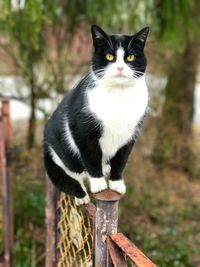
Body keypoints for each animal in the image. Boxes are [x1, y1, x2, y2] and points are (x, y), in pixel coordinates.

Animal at [44, 24, 150, 205]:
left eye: (130, 57)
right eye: (109, 56)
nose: (120, 67)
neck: (119, 95)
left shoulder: (130, 134)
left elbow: (121, 159)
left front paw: (116, 183)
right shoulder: (83, 130)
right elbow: (91, 156)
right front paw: (99, 183)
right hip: (54, 154)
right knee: (66, 175)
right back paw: (81, 196)